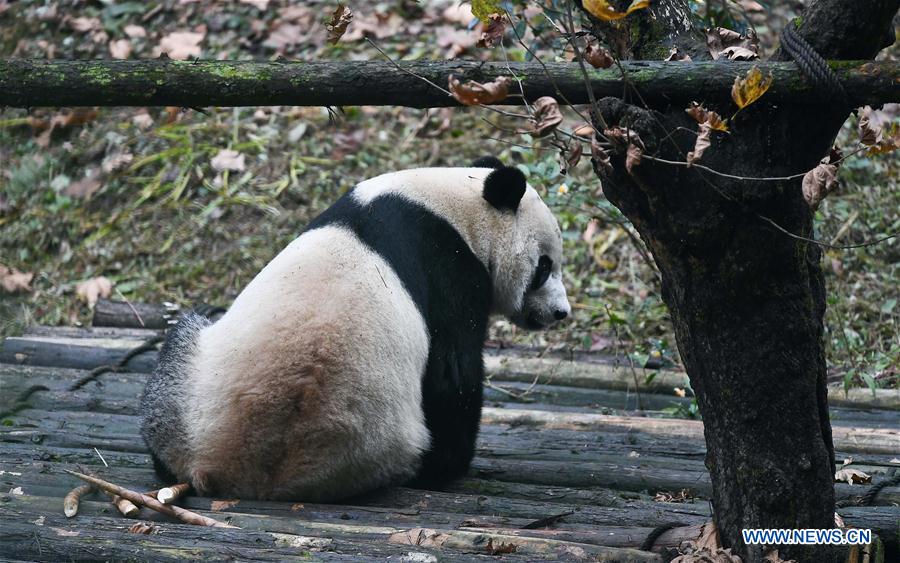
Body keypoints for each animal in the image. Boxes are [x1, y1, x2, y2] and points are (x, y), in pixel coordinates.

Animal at [139, 157, 570, 502]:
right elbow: (453, 373)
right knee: (182, 334)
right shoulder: (451, 270)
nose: (560, 313)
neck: (452, 207)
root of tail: (241, 472)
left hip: (188, 403)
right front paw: (458, 459)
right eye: (544, 267)